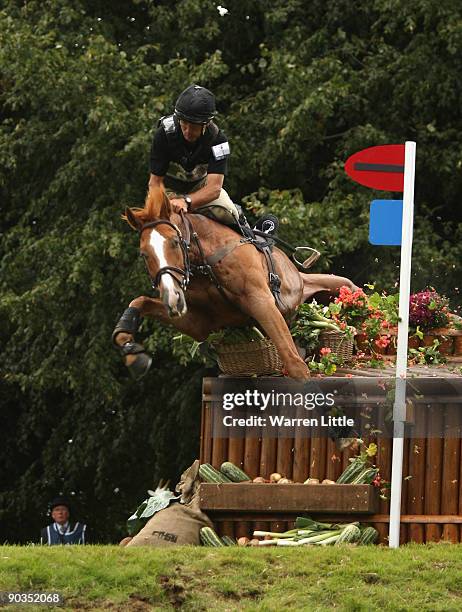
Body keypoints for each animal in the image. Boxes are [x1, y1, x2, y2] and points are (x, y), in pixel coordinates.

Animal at [112, 186, 358, 380]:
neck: (206, 264)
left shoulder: (262, 303)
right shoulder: (201, 324)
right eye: (144, 254)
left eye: (174, 242)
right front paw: (133, 354)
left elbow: (295, 364)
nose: (172, 298)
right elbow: (139, 302)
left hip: (345, 288)